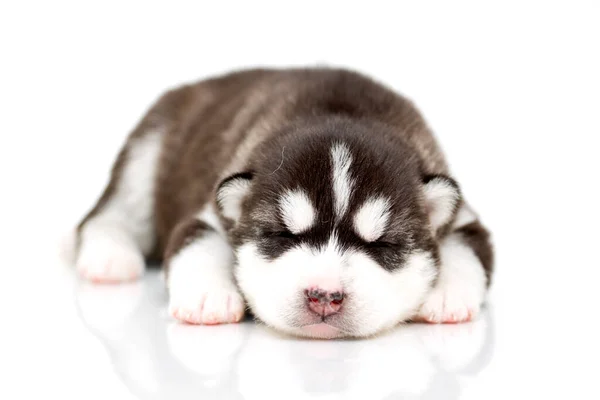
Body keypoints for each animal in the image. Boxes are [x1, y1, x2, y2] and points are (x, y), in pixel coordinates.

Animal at [71, 68, 492, 338]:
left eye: (383, 244)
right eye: (281, 236)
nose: (325, 297)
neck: (338, 112)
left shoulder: (462, 214)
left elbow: (467, 249)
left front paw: (446, 295)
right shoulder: (213, 208)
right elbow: (197, 241)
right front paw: (208, 297)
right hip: (148, 149)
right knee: (106, 214)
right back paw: (110, 257)